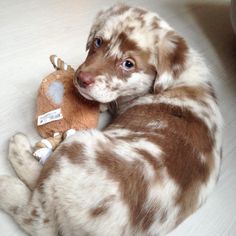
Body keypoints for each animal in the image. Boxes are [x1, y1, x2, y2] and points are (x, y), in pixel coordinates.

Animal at [0, 4, 222, 236]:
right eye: (98, 41)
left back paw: (11, 168)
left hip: (75, 147)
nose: (80, 79)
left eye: (128, 64)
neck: (177, 81)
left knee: (34, 207)